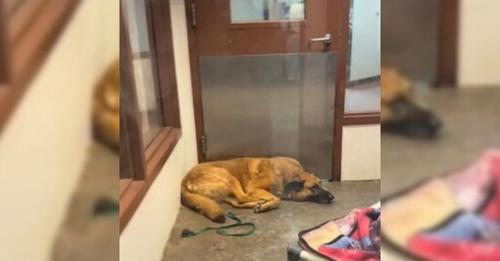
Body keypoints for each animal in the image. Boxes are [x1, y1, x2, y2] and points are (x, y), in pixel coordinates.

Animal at [182, 156, 334, 221]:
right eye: (313, 187)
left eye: (320, 183)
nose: (332, 197)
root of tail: (184, 180)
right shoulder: (255, 188)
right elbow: (276, 199)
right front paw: (268, 203)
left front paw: (264, 203)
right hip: (229, 176)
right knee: (243, 197)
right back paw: (262, 202)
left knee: (238, 202)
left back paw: (259, 203)